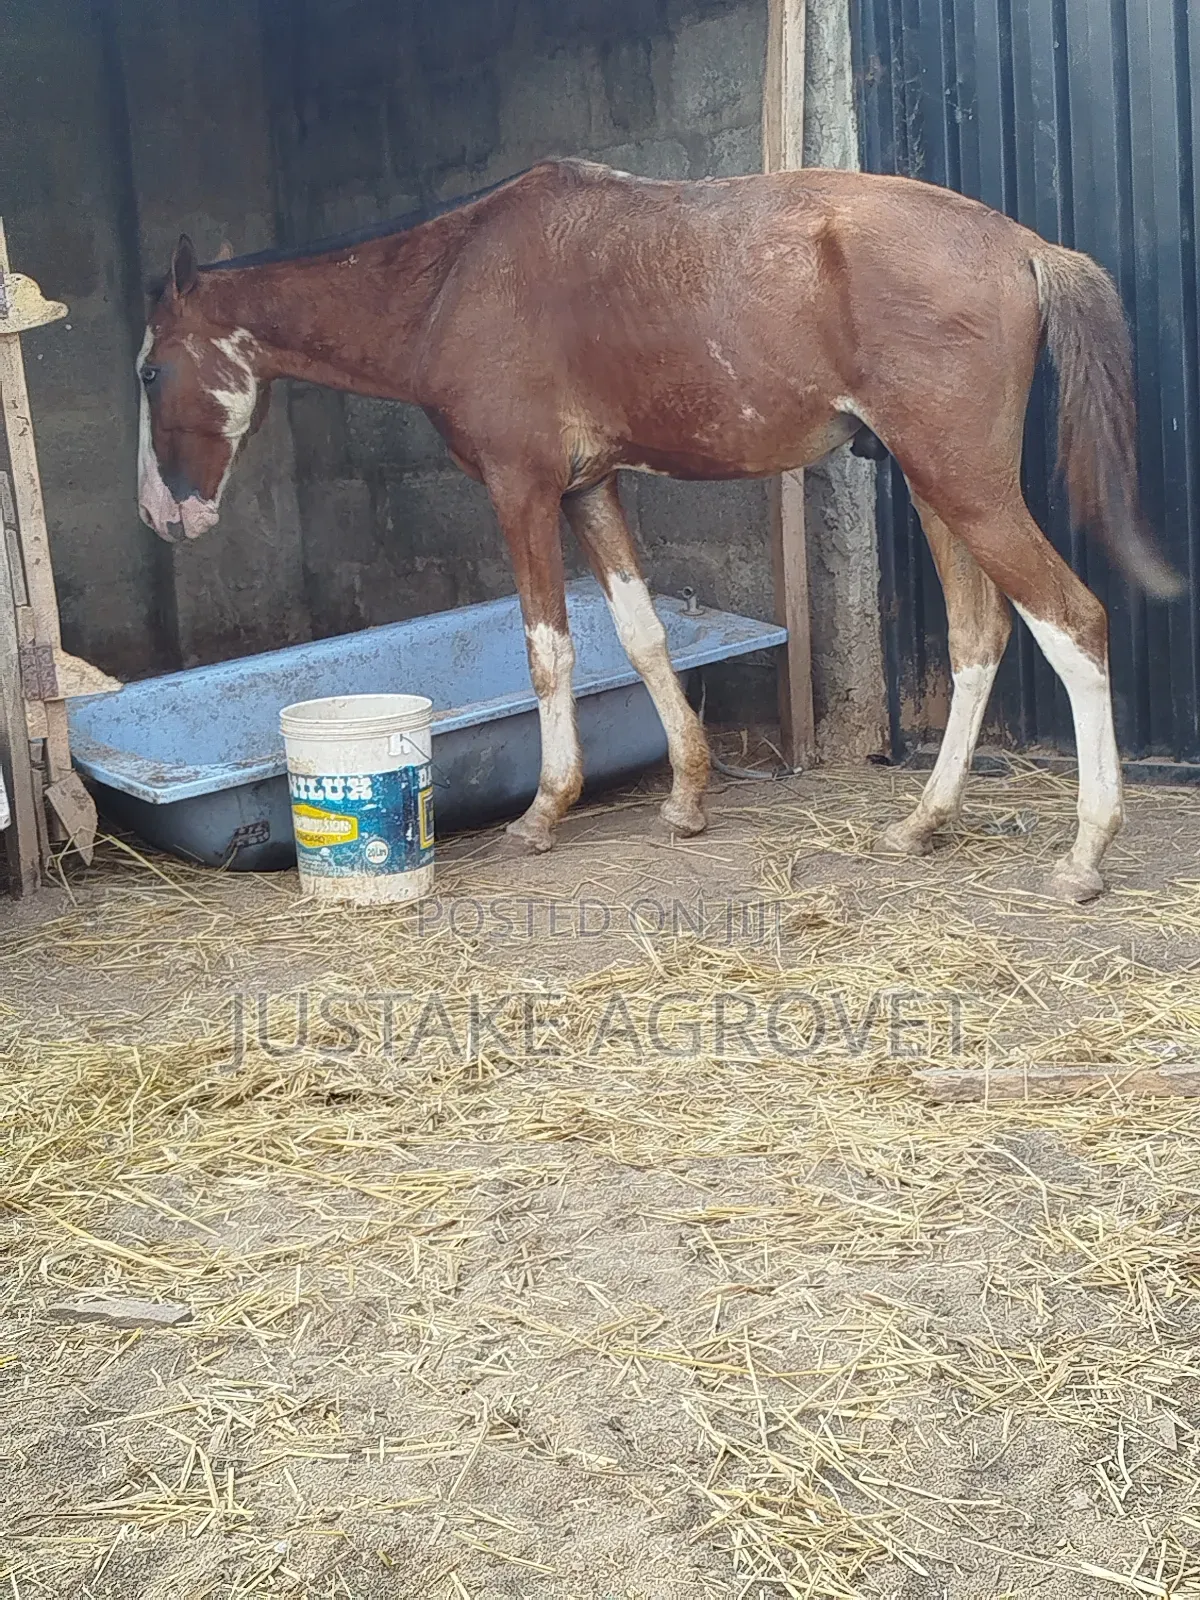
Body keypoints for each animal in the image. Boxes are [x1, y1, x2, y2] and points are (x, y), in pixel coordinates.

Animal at [136, 158, 1181, 901]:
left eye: (150, 371)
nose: (161, 512)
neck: (451, 282)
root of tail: (1024, 245)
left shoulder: (521, 492)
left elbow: (548, 651)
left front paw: (543, 811)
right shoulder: (589, 490)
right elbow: (641, 639)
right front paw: (685, 799)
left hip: (966, 486)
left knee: (1073, 622)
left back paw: (1085, 856)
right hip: (937, 489)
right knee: (980, 637)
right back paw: (923, 824)